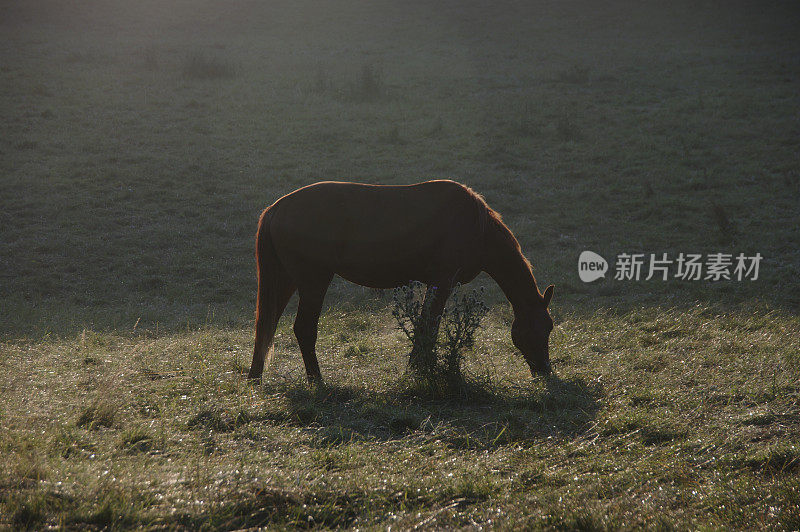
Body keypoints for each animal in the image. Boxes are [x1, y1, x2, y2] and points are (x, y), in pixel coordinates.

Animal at [247, 181, 552, 384]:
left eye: (549, 328)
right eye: (540, 329)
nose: (545, 372)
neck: (477, 227)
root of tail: (277, 207)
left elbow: (426, 326)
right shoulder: (443, 281)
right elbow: (428, 327)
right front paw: (419, 370)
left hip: (287, 280)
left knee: (267, 326)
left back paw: (255, 377)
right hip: (313, 282)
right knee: (303, 329)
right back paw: (316, 380)